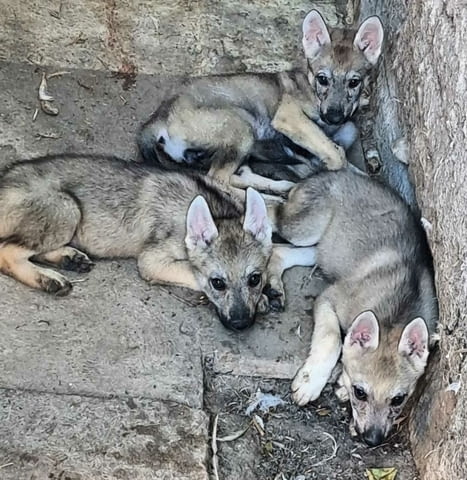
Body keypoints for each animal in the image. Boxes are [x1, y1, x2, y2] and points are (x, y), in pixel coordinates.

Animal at [0, 156, 274, 332]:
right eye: (217, 283)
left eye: (254, 279)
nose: (241, 325)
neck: (217, 208)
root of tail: (5, 181)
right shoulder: (151, 260)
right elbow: (193, 274)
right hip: (67, 209)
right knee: (7, 252)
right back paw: (48, 279)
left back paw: (69, 258)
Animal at [136, 9, 384, 189]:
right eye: (323, 79)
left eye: (354, 82)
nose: (333, 117)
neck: (311, 87)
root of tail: (156, 119)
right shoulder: (288, 115)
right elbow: (335, 153)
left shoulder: (343, 126)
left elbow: (339, 147)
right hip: (240, 127)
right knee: (218, 179)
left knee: (226, 175)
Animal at [268, 170, 440, 446]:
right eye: (360, 393)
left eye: (398, 399)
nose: (372, 439)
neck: (395, 310)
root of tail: (328, 173)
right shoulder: (329, 297)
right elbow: (332, 339)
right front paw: (309, 383)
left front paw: (339, 382)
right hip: (303, 228)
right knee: (271, 210)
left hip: (322, 248)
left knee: (279, 252)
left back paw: (273, 287)